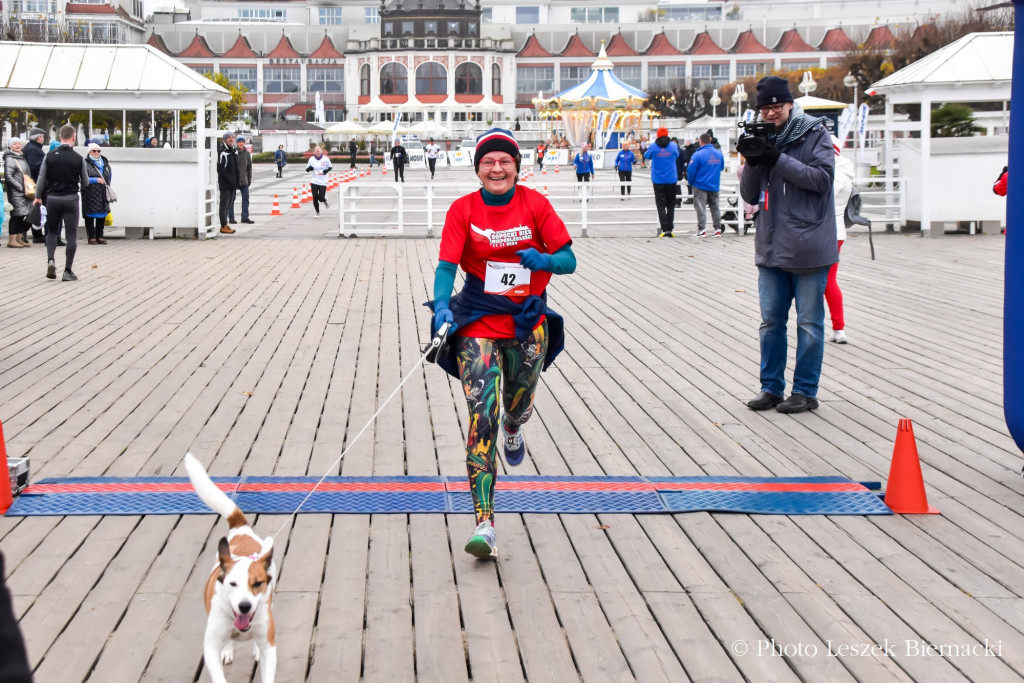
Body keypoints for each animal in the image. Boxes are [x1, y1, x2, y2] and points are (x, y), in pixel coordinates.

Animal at [181, 454, 274, 683]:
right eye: (232, 584)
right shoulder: (210, 647)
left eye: (257, 584)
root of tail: (240, 528)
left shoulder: (269, 644)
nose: (244, 606)